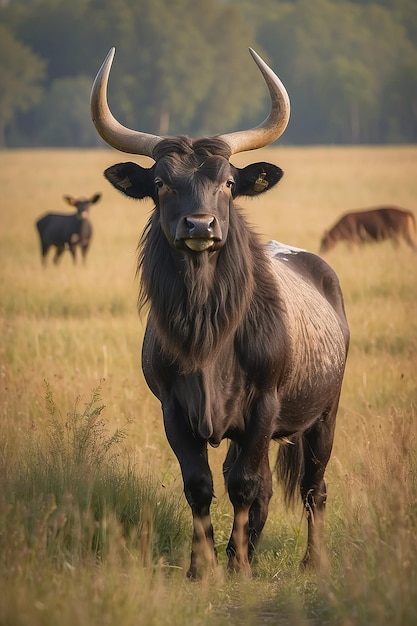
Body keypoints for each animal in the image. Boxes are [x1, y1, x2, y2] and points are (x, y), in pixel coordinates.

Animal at [90, 46, 348, 576]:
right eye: (162, 182)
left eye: (228, 181)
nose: (200, 225)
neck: (209, 332)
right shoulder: (174, 411)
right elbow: (201, 486)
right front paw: (202, 566)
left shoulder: (263, 408)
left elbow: (246, 486)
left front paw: (241, 566)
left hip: (324, 416)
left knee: (313, 487)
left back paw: (311, 562)